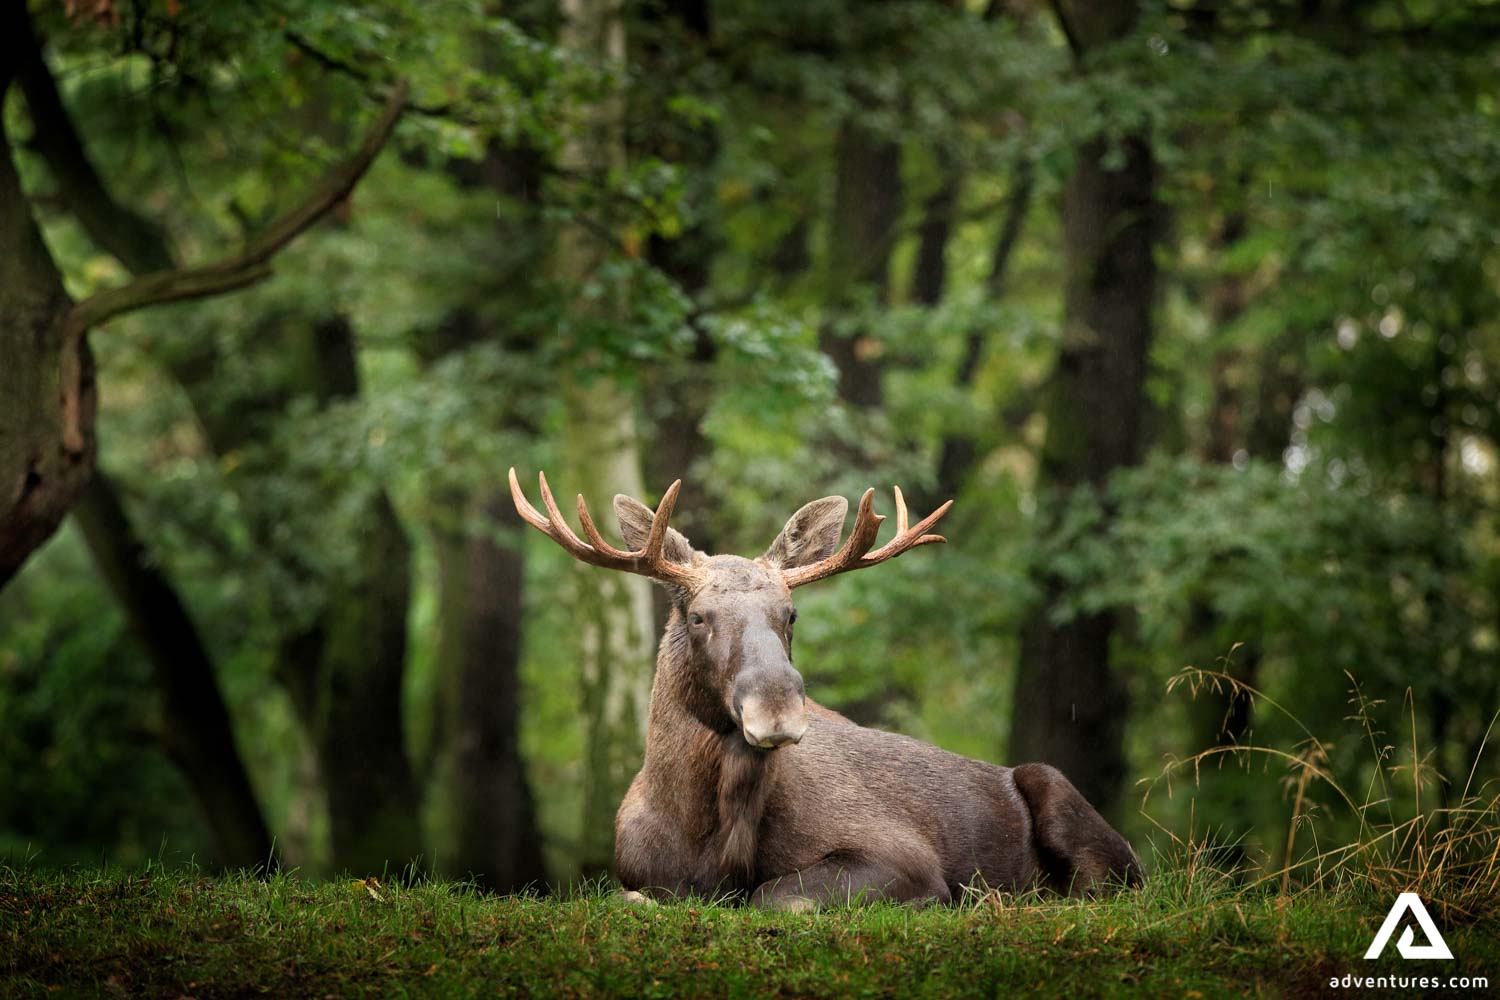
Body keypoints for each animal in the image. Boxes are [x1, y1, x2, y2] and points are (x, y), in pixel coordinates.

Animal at [509, 468, 1142, 909]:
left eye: (790, 613)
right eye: (698, 616)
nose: (776, 709)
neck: (712, 842)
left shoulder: (904, 855)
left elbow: (777, 898)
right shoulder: (634, 873)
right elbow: (634, 897)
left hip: (1070, 805)